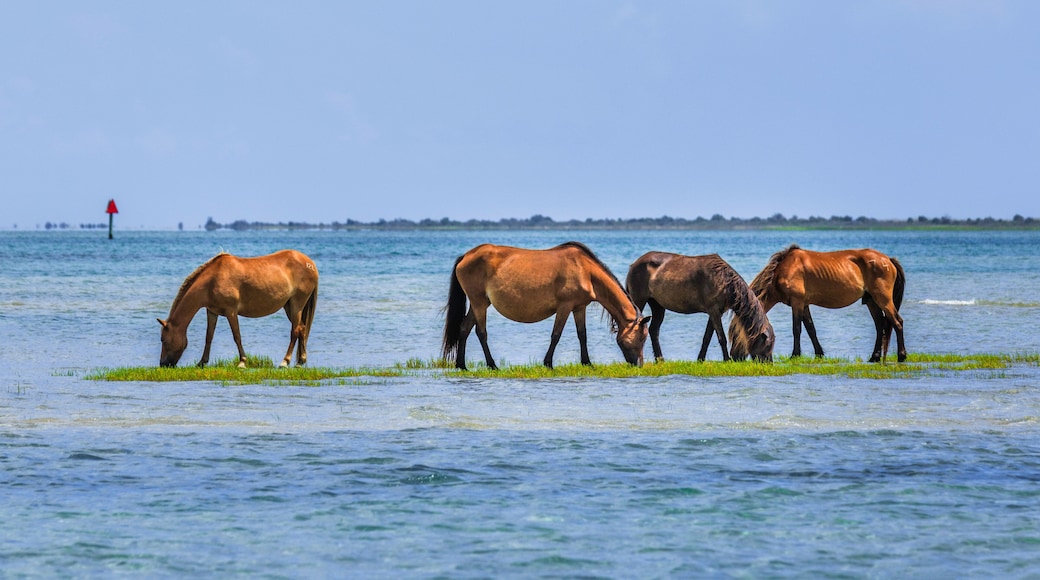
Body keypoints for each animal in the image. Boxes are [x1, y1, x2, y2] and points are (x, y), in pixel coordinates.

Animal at [157, 250, 319, 368]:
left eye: (163, 339)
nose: (163, 364)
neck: (212, 280)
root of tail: (310, 263)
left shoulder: (231, 311)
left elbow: (237, 336)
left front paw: (242, 362)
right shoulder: (212, 312)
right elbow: (209, 337)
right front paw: (201, 362)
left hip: (297, 305)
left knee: (295, 331)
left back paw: (285, 361)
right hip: (289, 306)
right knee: (302, 328)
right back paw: (300, 361)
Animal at [442, 242, 650, 370]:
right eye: (641, 338)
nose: (639, 364)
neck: (585, 270)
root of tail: (466, 256)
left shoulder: (579, 307)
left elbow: (582, 335)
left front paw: (587, 363)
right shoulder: (565, 306)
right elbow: (556, 335)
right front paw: (548, 363)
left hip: (479, 303)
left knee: (464, 329)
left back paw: (461, 365)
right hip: (479, 303)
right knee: (481, 332)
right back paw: (492, 365)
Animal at [626, 252, 775, 362]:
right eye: (767, 345)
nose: (769, 363)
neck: (724, 280)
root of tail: (634, 265)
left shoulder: (715, 313)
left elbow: (707, 338)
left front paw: (700, 360)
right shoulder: (714, 312)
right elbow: (721, 338)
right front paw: (726, 360)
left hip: (657, 305)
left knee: (654, 330)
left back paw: (660, 359)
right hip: (638, 300)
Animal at [732, 244, 906, 362]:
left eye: (735, 334)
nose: (734, 357)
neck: (783, 270)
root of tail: (888, 260)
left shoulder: (797, 302)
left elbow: (797, 329)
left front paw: (795, 355)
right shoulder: (804, 305)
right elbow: (811, 329)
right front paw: (819, 353)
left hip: (883, 299)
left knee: (897, 322)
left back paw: (901, 356)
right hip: (871, 301)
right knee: (880, 326)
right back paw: (874, 357)